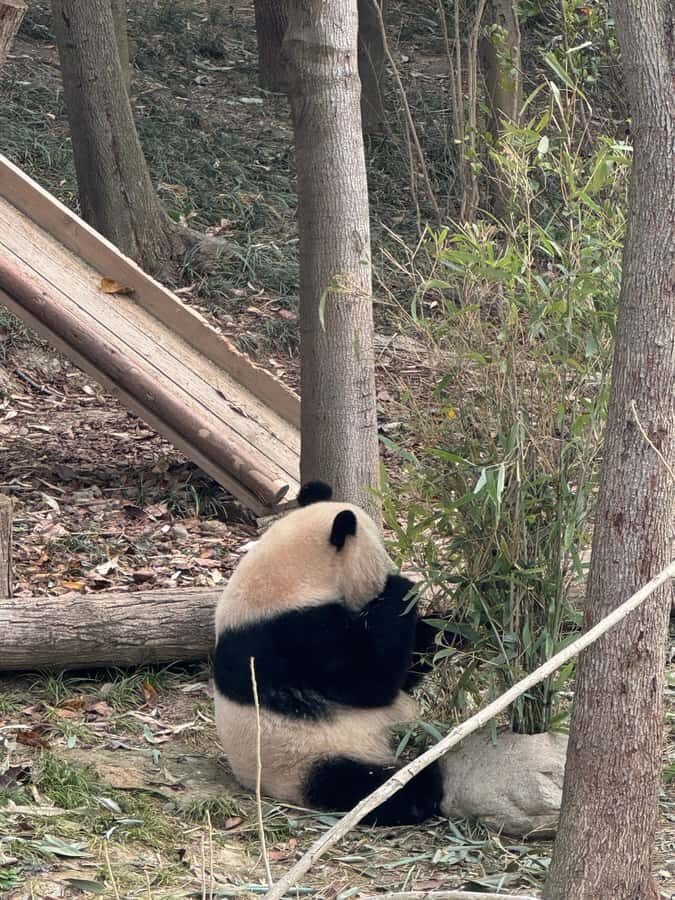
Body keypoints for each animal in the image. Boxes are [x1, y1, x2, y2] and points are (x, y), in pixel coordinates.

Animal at [213, 480, 444, 826]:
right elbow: (370, 681)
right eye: (382, 556)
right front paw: (401, 587)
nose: (393, 569)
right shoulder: (297, 635)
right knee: (368, 787)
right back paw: (423, 788)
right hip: (312, 757)